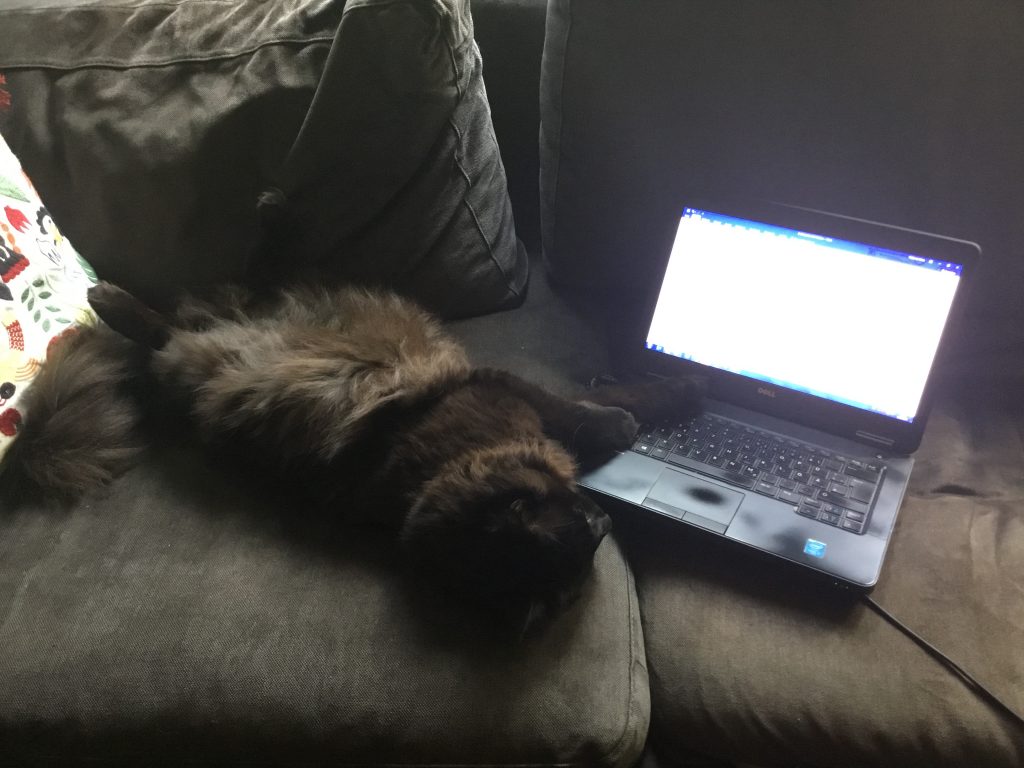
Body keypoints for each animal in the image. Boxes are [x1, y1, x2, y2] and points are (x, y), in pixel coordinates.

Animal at [8, 280, 704, 630]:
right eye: (584, 528)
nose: (606, 519)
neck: (423, 478)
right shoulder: (502, 389)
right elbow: (594, 406)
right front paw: (652, 404)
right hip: (214, 343)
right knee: (171, 325)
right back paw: (106, 296)